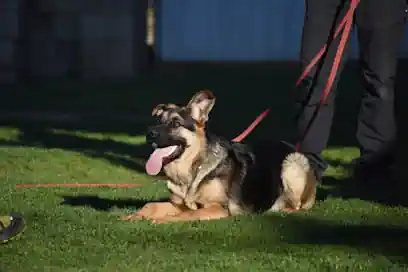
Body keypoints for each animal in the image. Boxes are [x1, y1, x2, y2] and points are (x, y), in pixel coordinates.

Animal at [122, 90, 318, 224]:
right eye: (157, 121)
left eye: (176, 123)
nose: (149, 133)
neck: (192, 170)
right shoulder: (177, 203)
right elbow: (151, 205)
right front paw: (136, 215)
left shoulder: (219, 208)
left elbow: (189, 213)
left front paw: (162, 220)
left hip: (292, 163)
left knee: (299, 206)